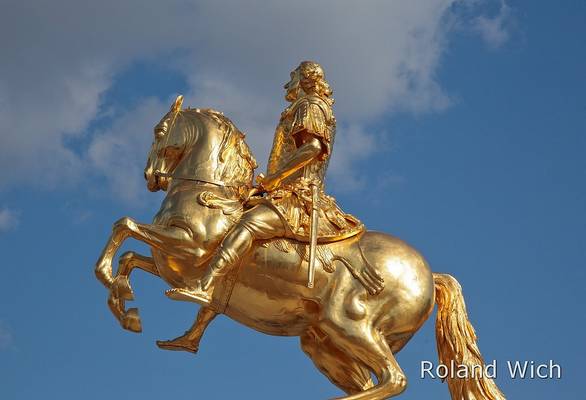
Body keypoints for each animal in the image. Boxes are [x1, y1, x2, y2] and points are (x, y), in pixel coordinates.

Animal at [94, 97, 502, 400]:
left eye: (159, 131)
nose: (151, 178)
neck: (207, 192)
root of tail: (429, 275)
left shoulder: (191, 250)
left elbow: (124, 226)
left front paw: (124, 290)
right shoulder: (171, 263)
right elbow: (129, 256)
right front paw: (127, 309)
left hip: (350, 325)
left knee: (394, 379)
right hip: (323, 343)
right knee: (377, 381)